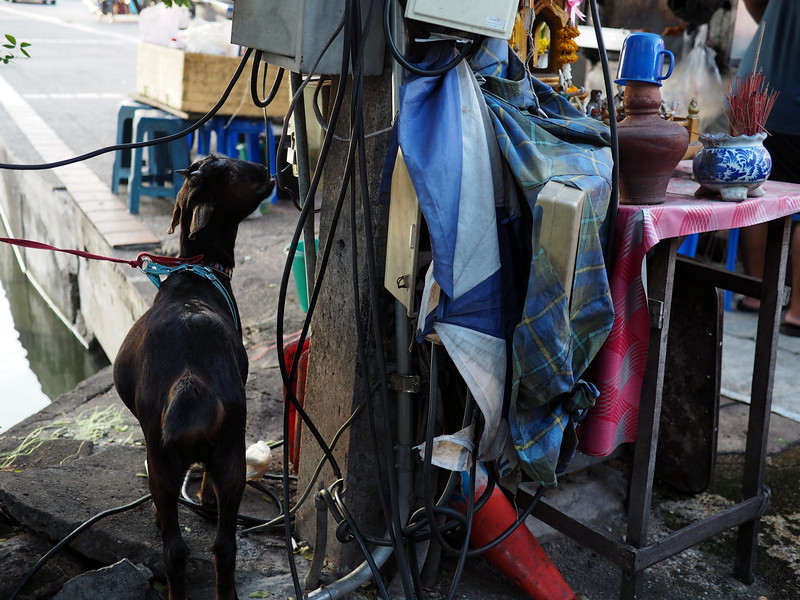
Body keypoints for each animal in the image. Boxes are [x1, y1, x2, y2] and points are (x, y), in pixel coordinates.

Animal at [112, 156, 276, 600]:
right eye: (235, 171)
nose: (265, 167)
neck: (197, 272)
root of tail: (191, 382)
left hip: (163, 460)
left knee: (177, 550)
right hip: (229, 452)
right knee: (221, 545)